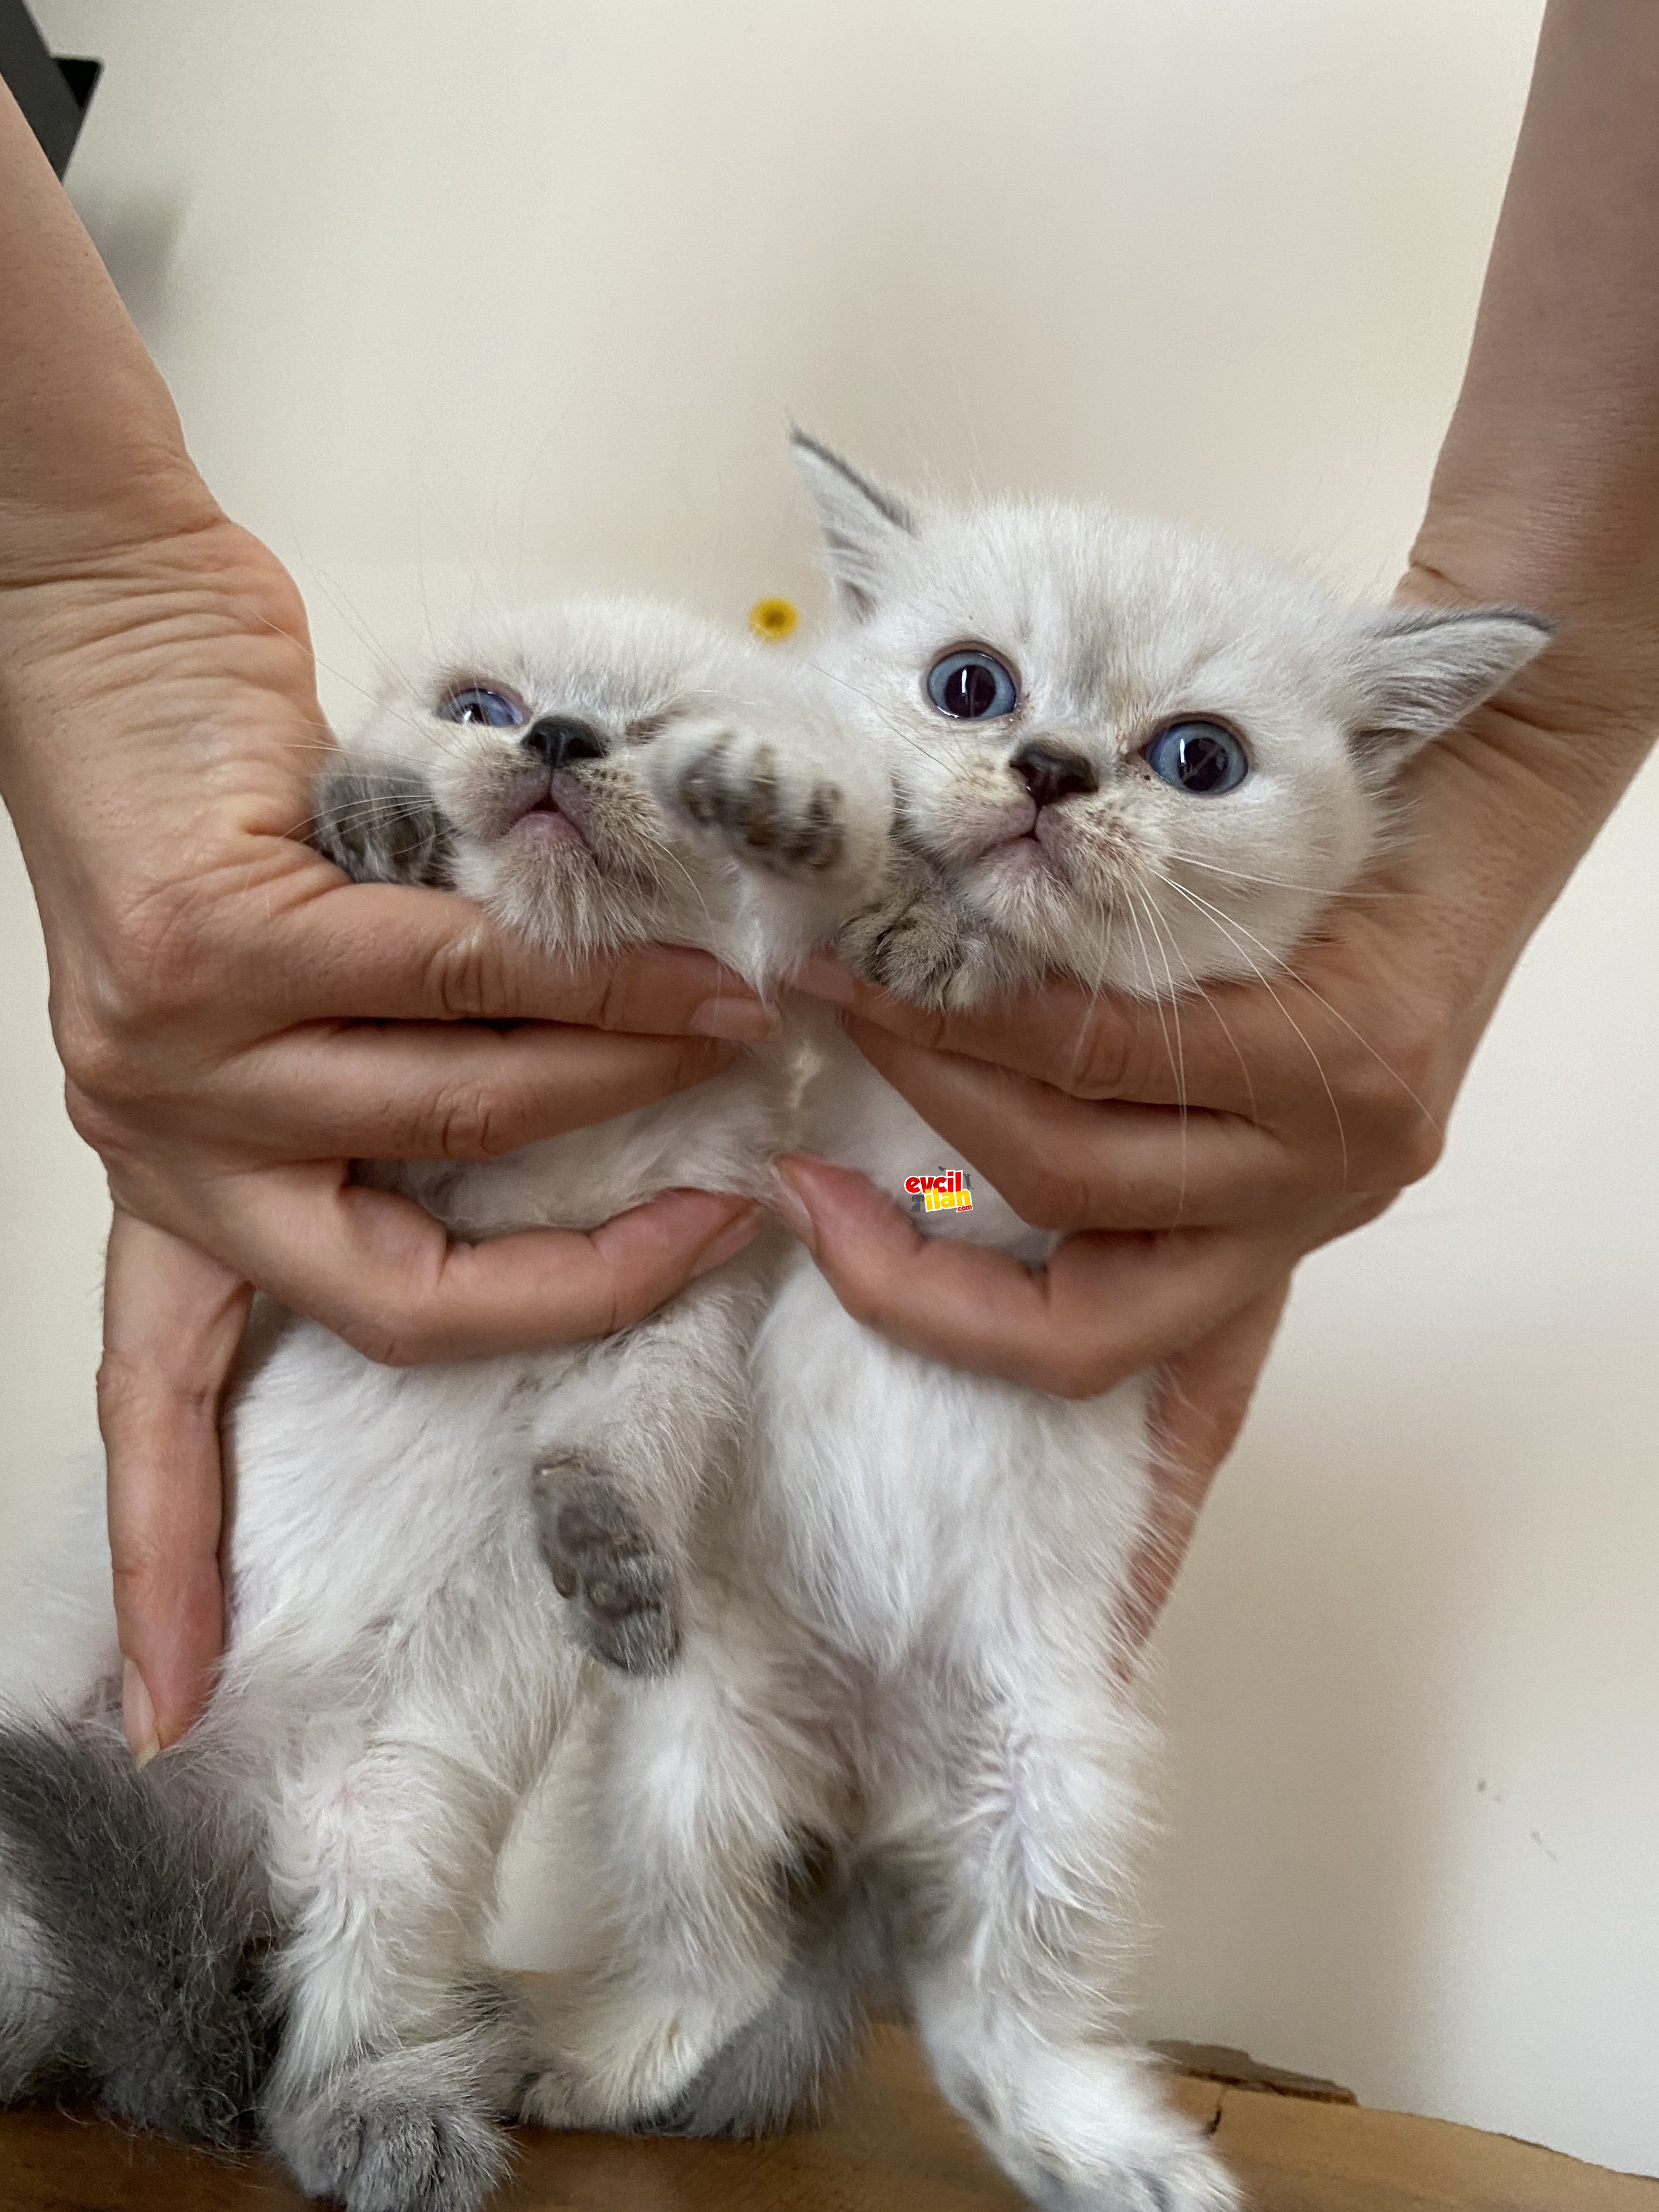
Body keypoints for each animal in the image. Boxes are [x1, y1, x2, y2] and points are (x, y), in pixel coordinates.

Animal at [522, 436, 1557, 2212]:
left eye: (1199, 759)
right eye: (970, 686)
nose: (1055, 770)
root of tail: (868, 1796)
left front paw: (962, 940)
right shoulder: (787, 1005)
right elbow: (826, 881)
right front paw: (806, 814)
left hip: (1052, 1793)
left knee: (990, 2012)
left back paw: (1114, 2155)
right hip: (696, 1745)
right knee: (717, 1958)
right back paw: (593, 2070)